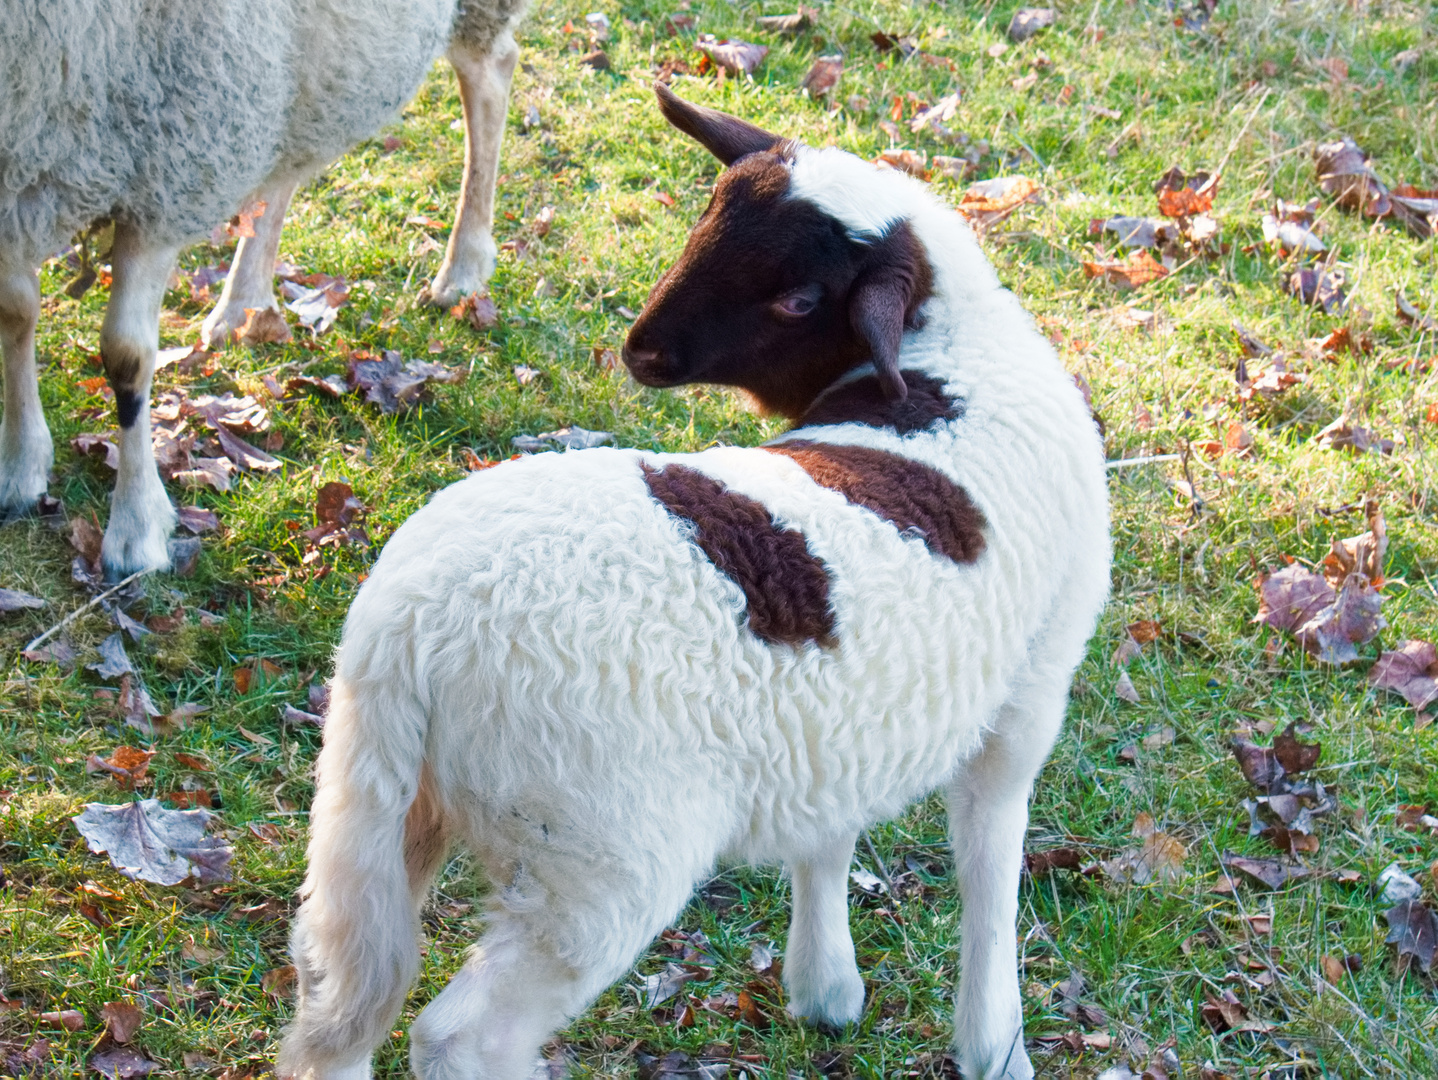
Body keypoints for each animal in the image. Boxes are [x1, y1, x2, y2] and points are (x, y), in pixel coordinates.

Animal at [0, 0, 526, 578]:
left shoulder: (166, 174)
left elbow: (126, 356)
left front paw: (136, 528)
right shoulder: (16, 188)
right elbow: (15, 313)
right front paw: (20, 467)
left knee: (492, 72)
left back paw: (464, 263)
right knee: (290, 150)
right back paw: (242, 303)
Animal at [280, 86, 1110, 1080]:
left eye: (797, 297)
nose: (641, 353)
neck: (951, 359)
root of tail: (412, 632)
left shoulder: (843, 720)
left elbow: (830, 828)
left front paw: (825, 990)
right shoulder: (1033, 690)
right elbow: (991, 859)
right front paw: (994, 1045)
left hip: (378, 797)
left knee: (337, 997)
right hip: (594, 851)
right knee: (461, 1037)